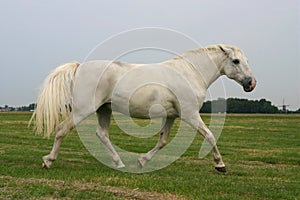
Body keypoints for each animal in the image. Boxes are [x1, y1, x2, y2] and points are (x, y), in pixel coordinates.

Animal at [29, 44, 255, 173]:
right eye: (235, 61)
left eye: (246, 60)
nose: (251, 83)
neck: (189, 73)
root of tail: (79, 66)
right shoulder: (190, 115)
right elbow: (209, 135)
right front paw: (220, 165)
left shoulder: (171, 116)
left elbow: (162, 141)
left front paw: (142, 161)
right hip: (82, 110)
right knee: (62, 130)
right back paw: (48, 161)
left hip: (104, 110)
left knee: (102, 134)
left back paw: (119, 163)